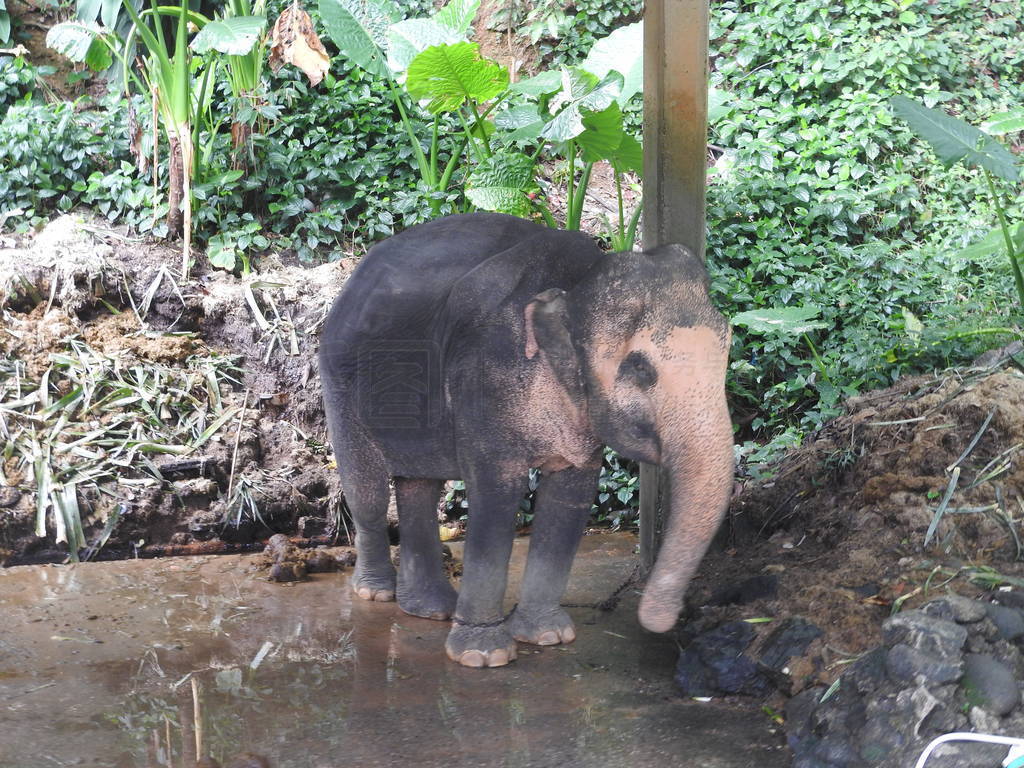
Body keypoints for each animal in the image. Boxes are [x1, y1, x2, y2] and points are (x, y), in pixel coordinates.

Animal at [315, 210, 733, 667]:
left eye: (728, 345)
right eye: (640, 368)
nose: (663, 621)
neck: (580, 281)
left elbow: (570, 495)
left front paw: (547, 636)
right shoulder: (485, 377)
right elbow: (498, 494)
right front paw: (483, 656)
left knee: (419, 485)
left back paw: (431, 609)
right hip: (336, 379)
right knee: (367, 489)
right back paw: (376, 593)